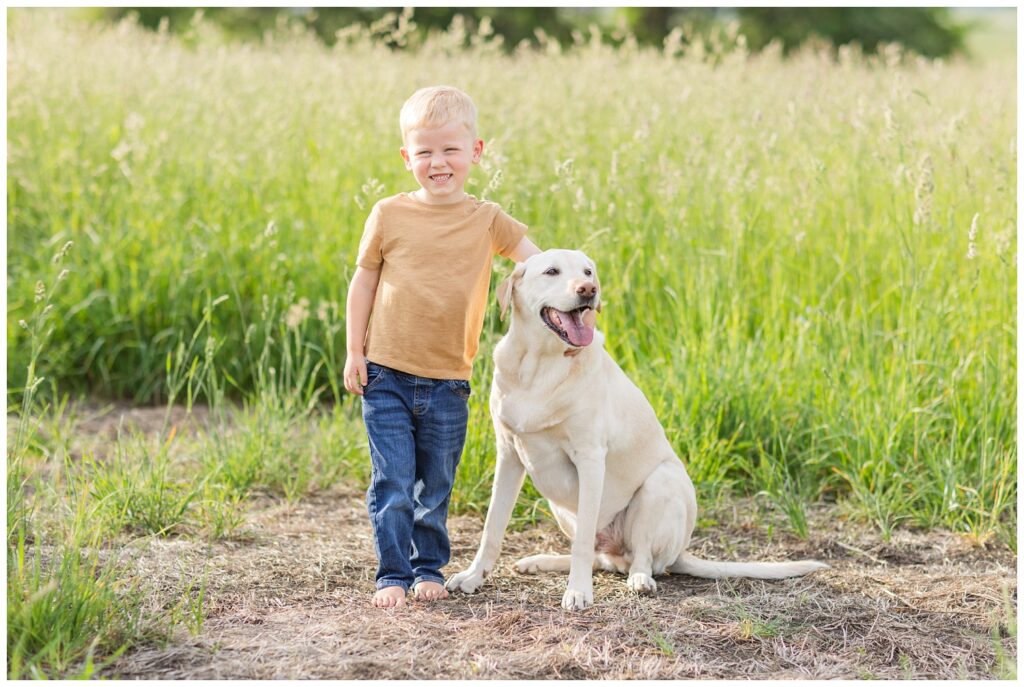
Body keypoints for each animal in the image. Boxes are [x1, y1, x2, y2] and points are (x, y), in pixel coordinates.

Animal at [446, 248, 823, 614]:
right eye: (551, 271)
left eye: (587, 272)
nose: (589, 290)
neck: (538, 365)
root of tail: (680, 552)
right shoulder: (509, 455)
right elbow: (492, 528)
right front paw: (473, 577)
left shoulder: (590, 459)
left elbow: (582, 544)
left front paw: (578, 592)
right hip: (564, 510)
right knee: (599, 556)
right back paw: (543, 561)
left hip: (660, 483)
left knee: (638, 558)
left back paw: (639, 580)